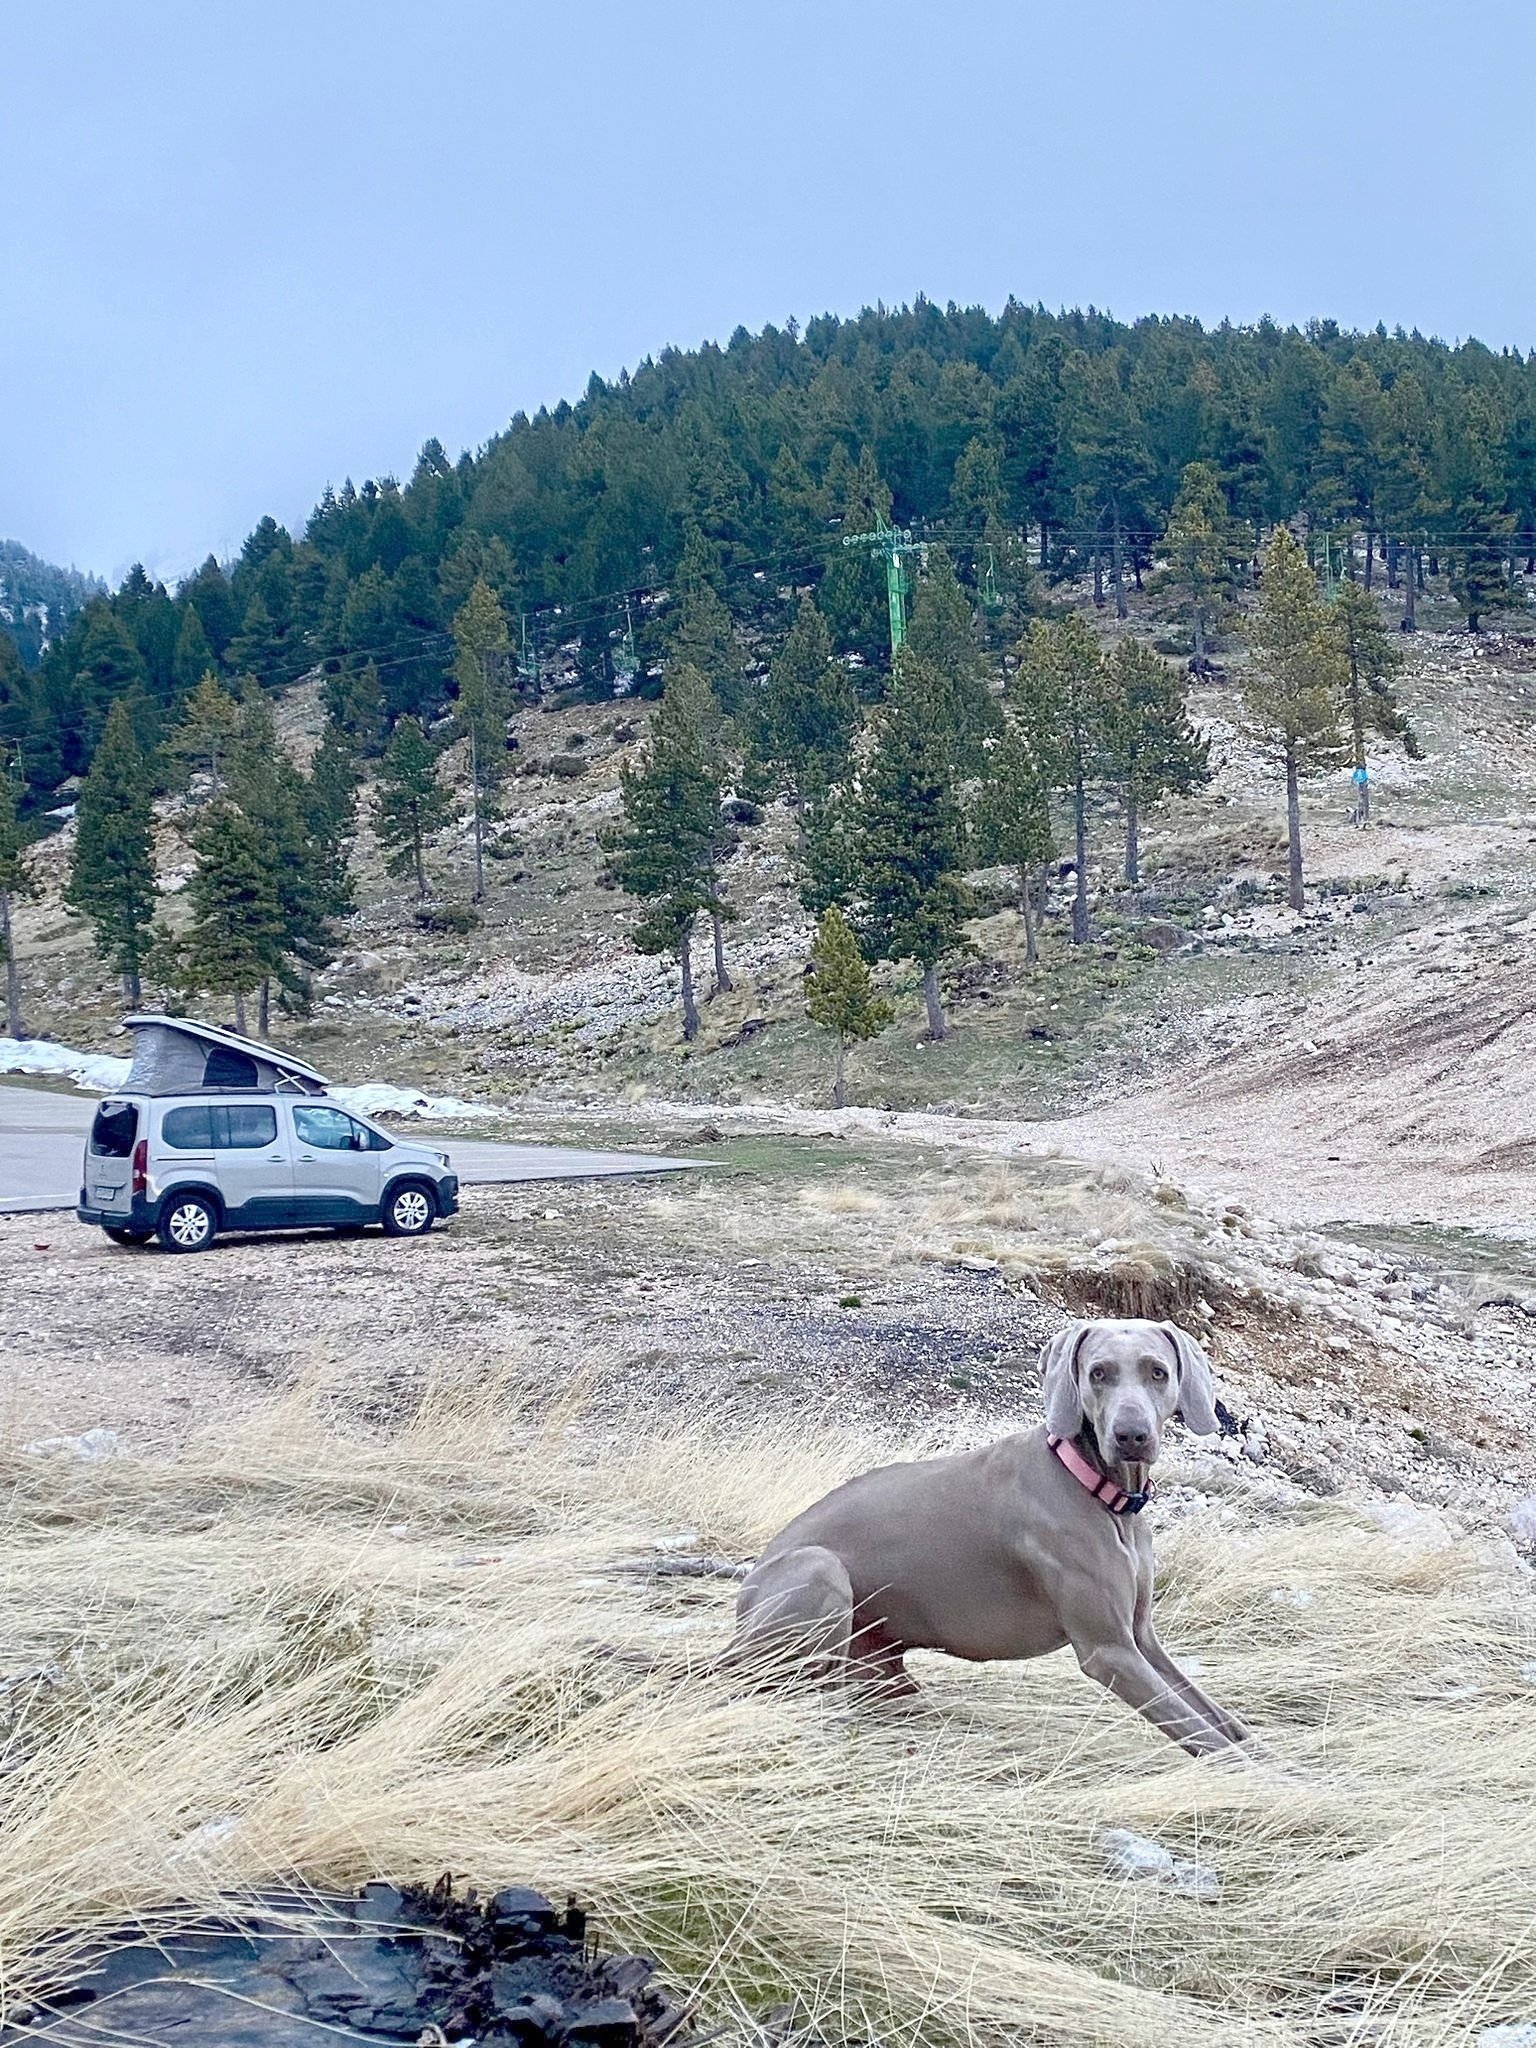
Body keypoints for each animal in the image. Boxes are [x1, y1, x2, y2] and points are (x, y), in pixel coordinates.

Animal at [724, 1317, 1255, 1756]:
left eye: (1158, 1372)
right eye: (1098, 1373)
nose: (1131, 1435)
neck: (1099, 1490)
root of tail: (738, 1615)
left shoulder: (1141, 1637)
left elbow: (1223, 1722)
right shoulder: (1109, 1651)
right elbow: (1207, 1737)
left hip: (883, 1668)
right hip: (817, 1568)